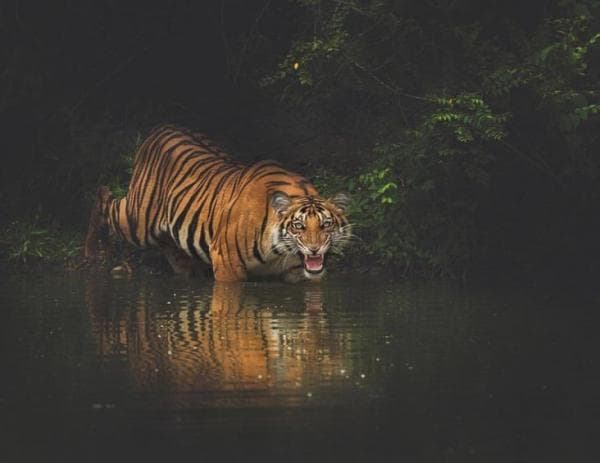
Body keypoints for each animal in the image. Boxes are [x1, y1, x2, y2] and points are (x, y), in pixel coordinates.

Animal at [82, 124, 350, 282]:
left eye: (326, 225)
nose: (315, 249)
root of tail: (161, 128)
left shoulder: (299, 274)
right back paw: (94, 251)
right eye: (298, 226)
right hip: (137, 220)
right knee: (104, 198)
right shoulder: (227, 262)